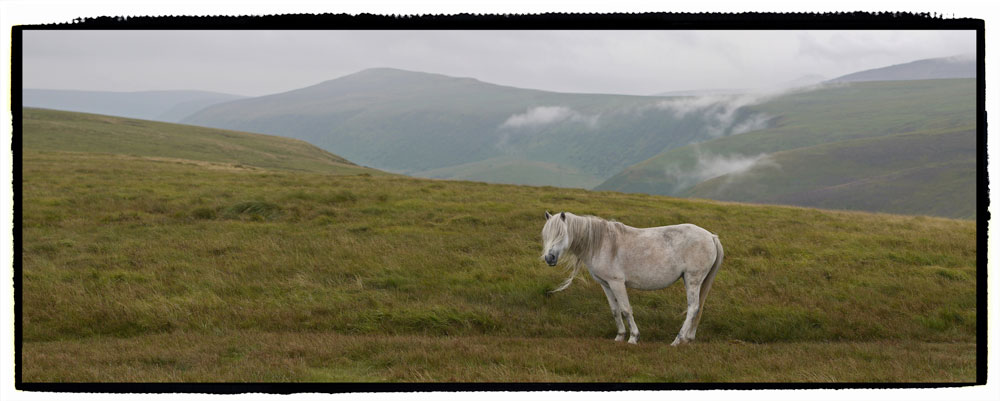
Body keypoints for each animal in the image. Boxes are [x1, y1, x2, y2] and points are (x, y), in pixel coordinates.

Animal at [544, 211, 724, 346]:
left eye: (561, 234)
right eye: (546, 236)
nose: (549, 258)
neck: (601, 243)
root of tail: (711, 236)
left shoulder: (617, 283)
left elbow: (625, 309)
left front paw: (633, 338)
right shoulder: (606, 285)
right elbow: (615, 310)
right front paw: (619, 336)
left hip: (693, 279)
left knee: (693, 308)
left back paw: (677, 340)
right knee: (698, 308)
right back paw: (688, 338)